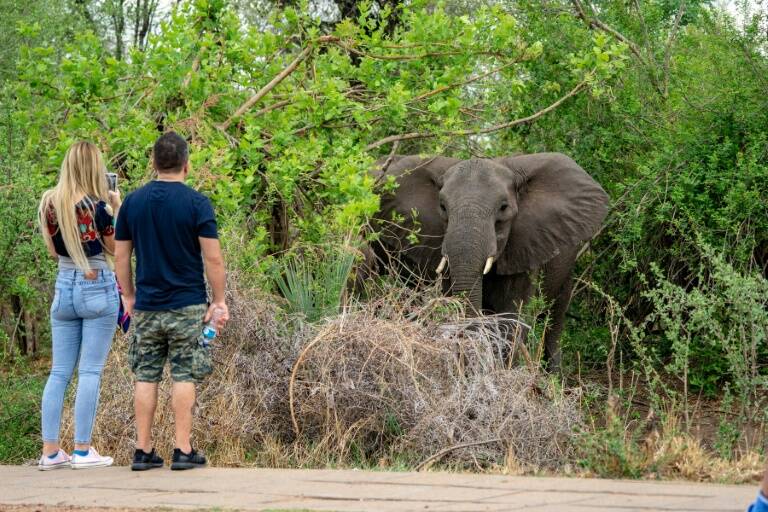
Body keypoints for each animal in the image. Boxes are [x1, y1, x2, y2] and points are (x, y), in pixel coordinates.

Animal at [368, 153, 608, 372]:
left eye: (503, 207)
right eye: (443, 207)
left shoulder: (526, 246)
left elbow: (512, 317)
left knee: (555, 316)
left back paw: (553, 377)